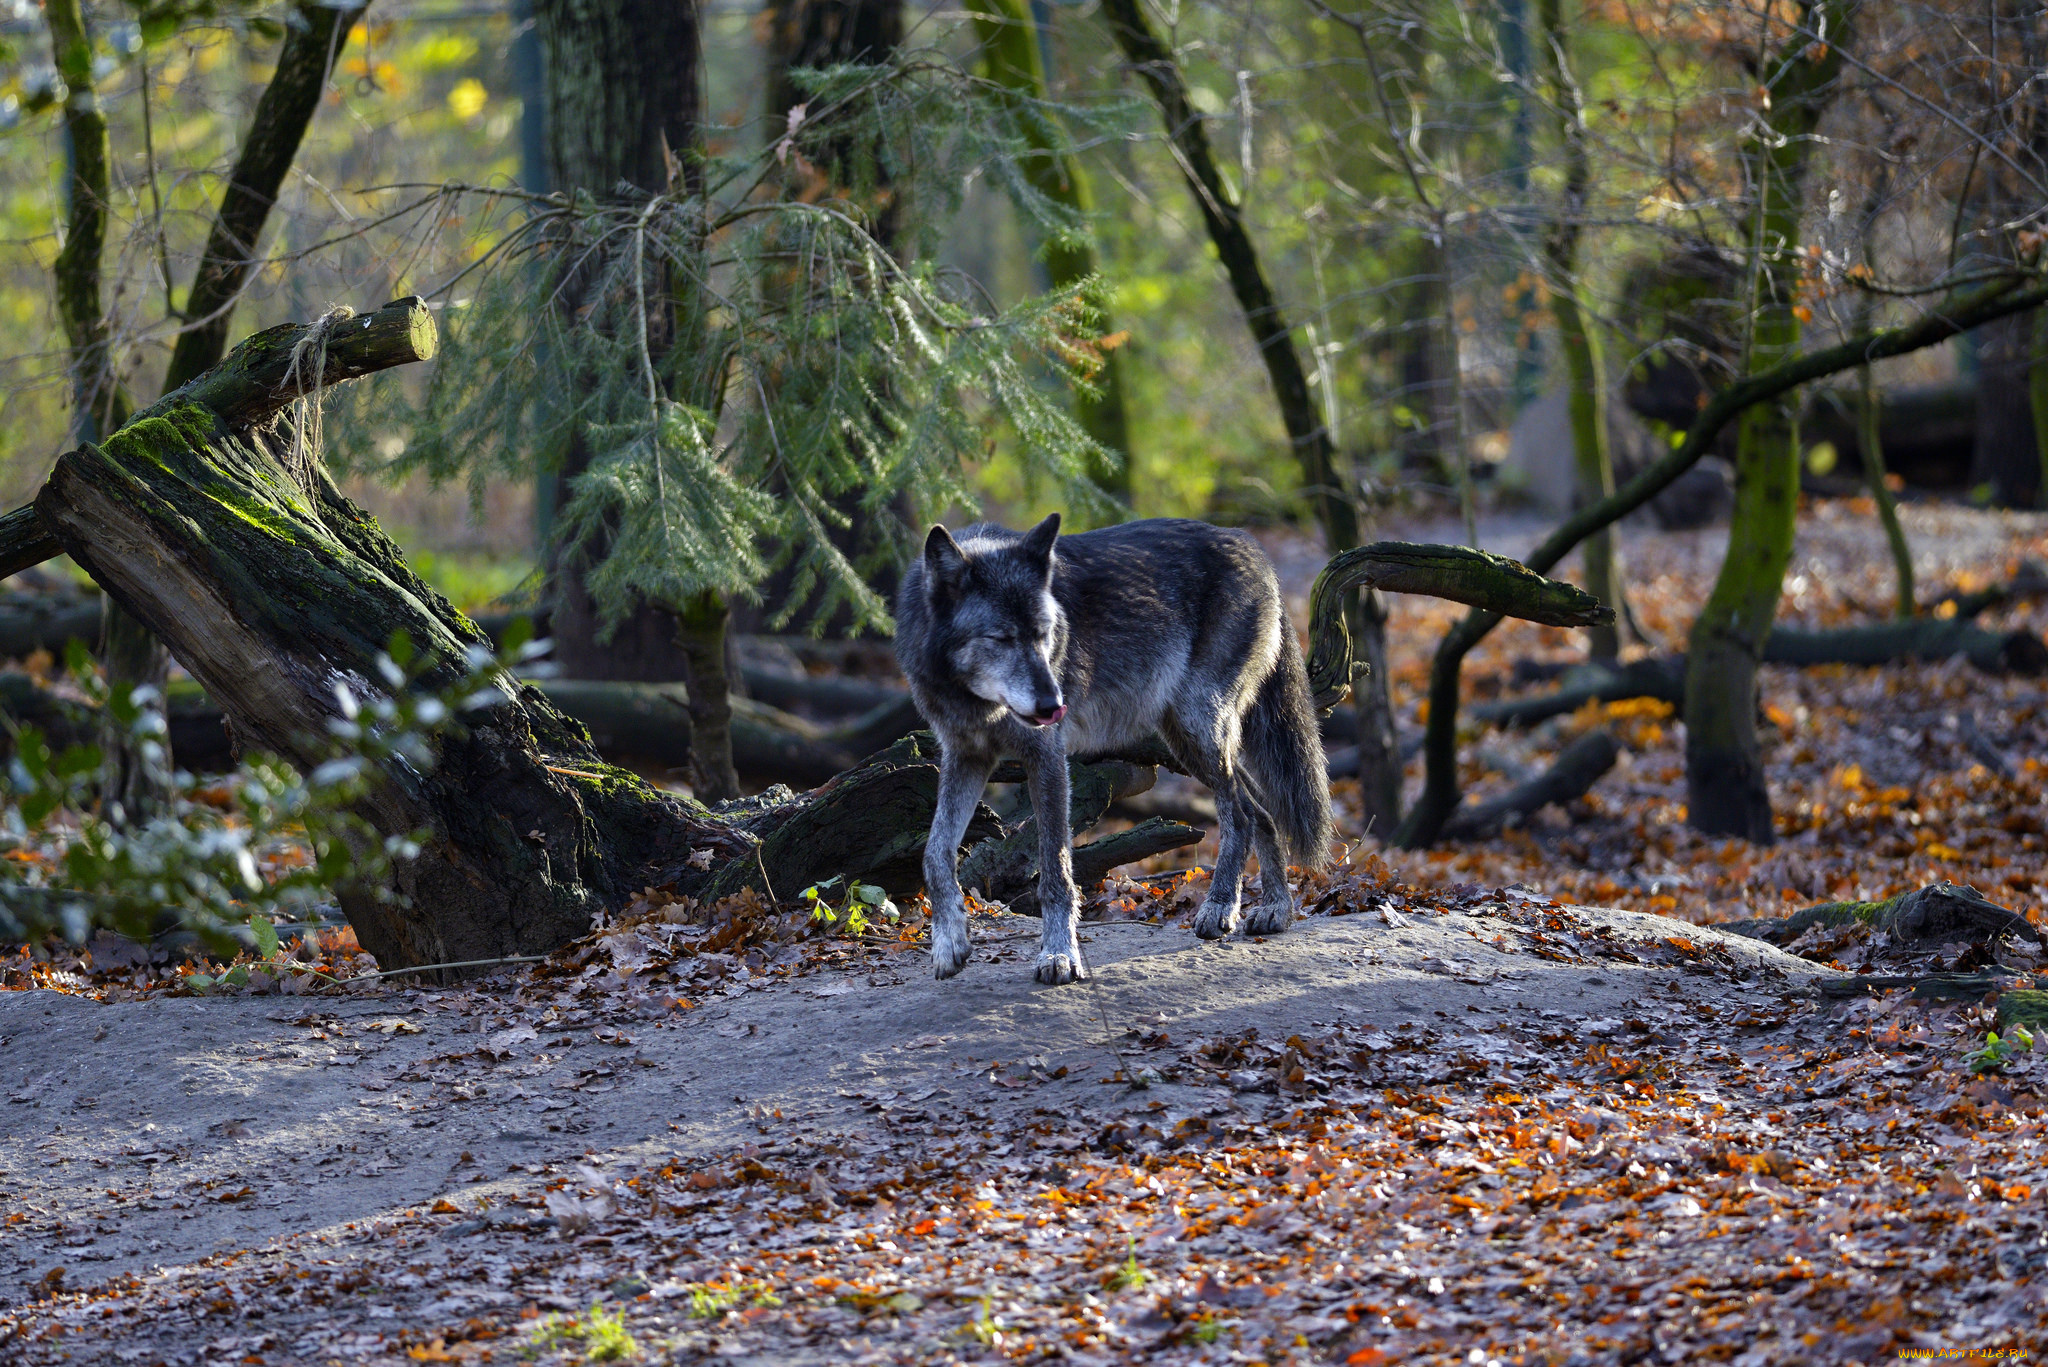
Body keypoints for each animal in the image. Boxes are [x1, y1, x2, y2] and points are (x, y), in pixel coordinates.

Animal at [892, 512, 1327, 983]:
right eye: (1001, 639)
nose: (1054, 705)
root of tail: (1252, 546)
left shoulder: (1047, 756)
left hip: (1199, 727)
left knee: (1242, 815)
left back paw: (1220, 907)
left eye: (1045, 635)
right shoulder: (966, 756)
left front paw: (1059, 955)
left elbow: (1056, 870)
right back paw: (1276, 910)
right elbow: (935, 854)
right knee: (1262, 810)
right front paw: (948, 943)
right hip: (1185, 740)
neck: (974, 700)